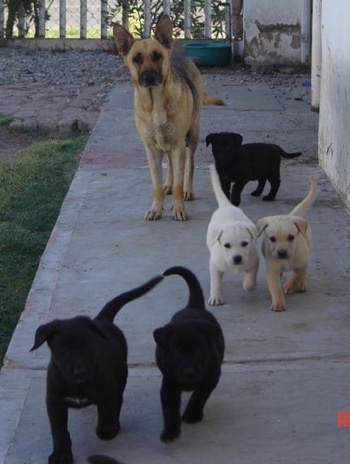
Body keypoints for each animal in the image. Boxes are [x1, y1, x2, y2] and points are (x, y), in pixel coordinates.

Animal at [31, 276, 163, 464]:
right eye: (63, 350)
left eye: (87, 347)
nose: (79, 372)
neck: (78, 385)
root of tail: (102, 319)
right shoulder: (54, 402)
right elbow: (59, 431)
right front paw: (61, 454)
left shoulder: (108, 393)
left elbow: (107, 415)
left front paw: (108, 430)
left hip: (122, 374)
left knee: (119, 398)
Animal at [115, 14, 224, 221]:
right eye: (136, 59)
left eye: (157, 56)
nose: (149, 77)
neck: (155, 104)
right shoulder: (151, 149)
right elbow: (156, 185)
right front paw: (156, 208)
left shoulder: (178, 145)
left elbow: (179, 183)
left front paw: (179, 208)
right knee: (171, 166)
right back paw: (168, 184)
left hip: (192, 135)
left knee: (189, 164)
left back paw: (188, 190)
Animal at [153, 264, 224, 442]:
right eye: (176, 351)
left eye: (198, 350)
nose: (189, 373)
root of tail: (193, 306)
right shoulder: (169, 382)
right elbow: (170, 408)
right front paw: (170, 431)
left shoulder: (211, 376)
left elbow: (199, 395)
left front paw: (192, 414)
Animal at [205, 165, 260, 306]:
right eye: (226, 245)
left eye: (245, 244)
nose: (237, 258)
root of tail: (227, 205)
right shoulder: (214, 266)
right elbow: (215, 282)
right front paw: (216, 297)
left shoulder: (254, 261)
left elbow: (251, 278)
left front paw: (248, 286)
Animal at [256, 174, 318, 312]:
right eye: (272, 239)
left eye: (291, 237)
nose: (282, 252)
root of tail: (292, 215)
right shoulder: (272, 270)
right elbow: (275, 288)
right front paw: (278, 302)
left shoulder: (302, 261)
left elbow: (297, 274)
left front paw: (290, 285)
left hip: (308, 249)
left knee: (303, 271)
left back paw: (301, 284)